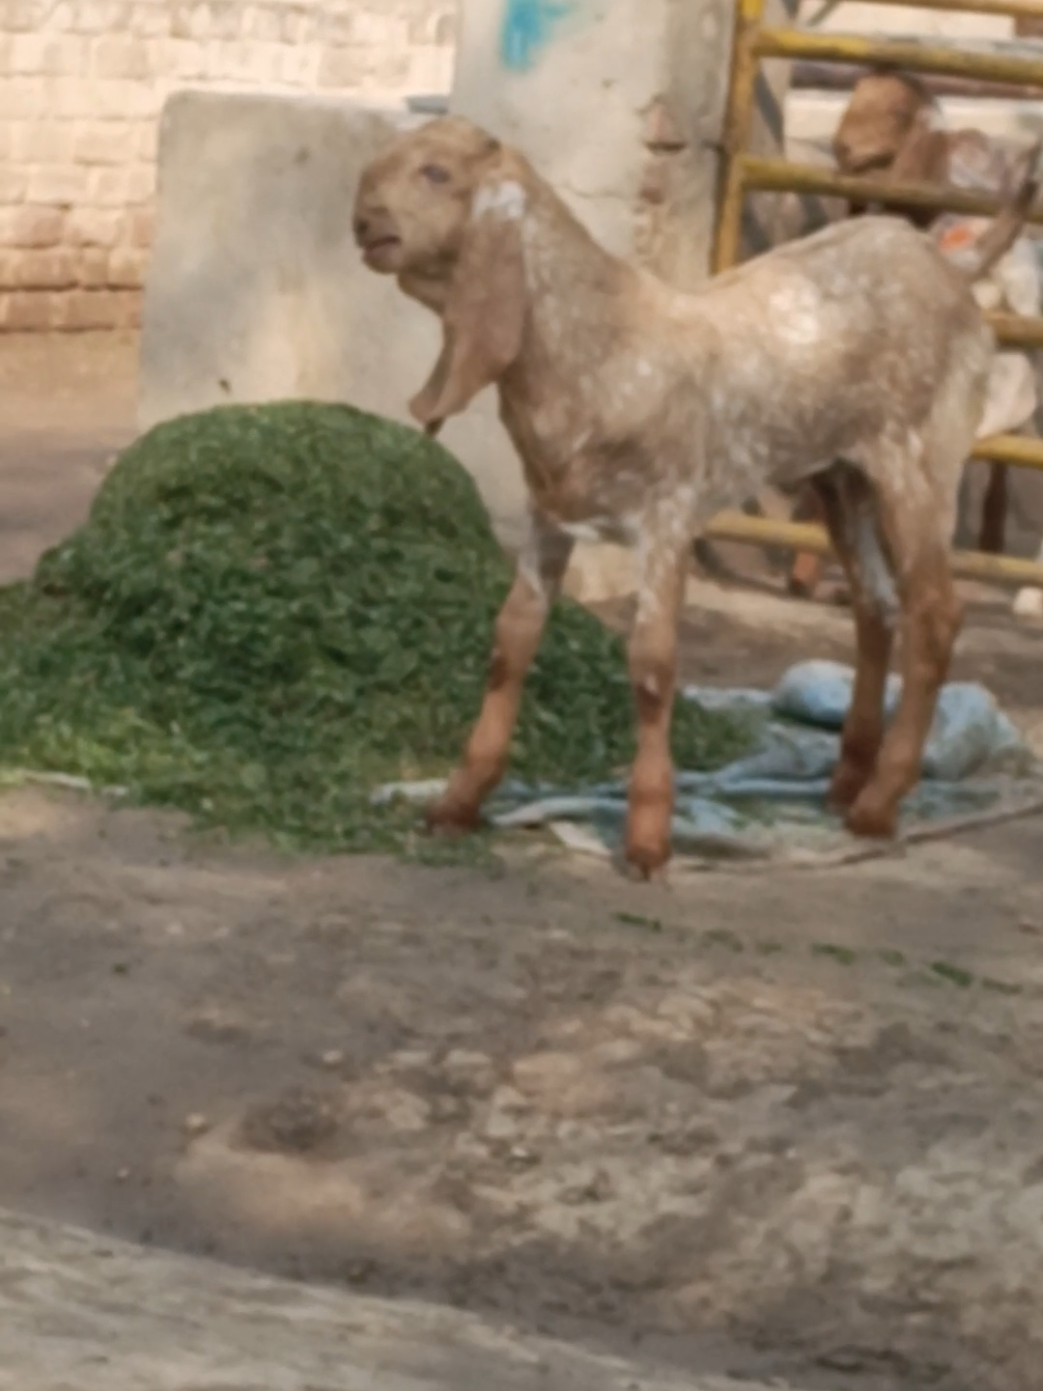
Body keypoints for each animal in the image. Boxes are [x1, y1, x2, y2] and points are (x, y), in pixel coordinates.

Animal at [354, 116, 1038, 876]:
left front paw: (648, 840)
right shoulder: (548, 517)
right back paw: (843, 782)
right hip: (841, 475)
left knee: (935, 613)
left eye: (437, 174)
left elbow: (652, 664)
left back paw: (878, 803)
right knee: (875, 604)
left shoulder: (666, 517)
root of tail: (952, 263)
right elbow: (511, 642)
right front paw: (457, 803)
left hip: (920, 460)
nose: (364, 224)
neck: (604, 344)